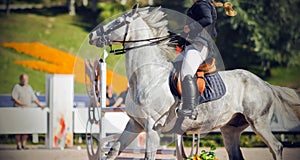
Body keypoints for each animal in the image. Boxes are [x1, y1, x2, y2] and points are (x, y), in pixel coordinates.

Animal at [89, 5, 300, 160]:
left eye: (118, 22)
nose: (92, 35)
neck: (148, 76)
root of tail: (265, 84)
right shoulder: (134, 125)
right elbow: (113, 152)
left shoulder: (152, 128)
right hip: (230, 129)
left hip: (259, 122)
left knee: (276, 147)